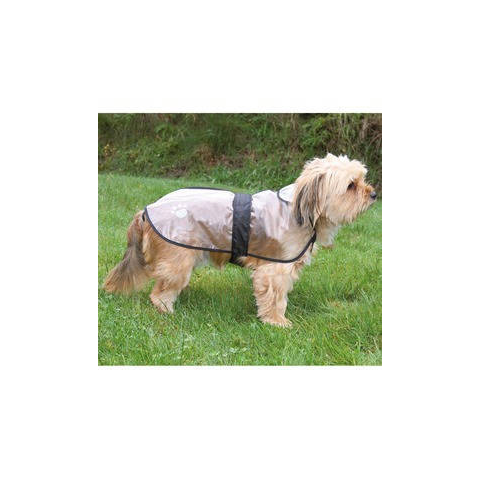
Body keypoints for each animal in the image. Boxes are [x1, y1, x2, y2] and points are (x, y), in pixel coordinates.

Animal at [103, 153, 376, 327]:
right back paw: (167, 309)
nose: (373, 194)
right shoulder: (274, 270)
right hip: (178, 260)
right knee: (159, 294)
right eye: (351, 186)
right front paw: (277, 322)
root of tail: (146, 211)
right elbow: (275, 299)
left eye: (362, 179)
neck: (299, 209)